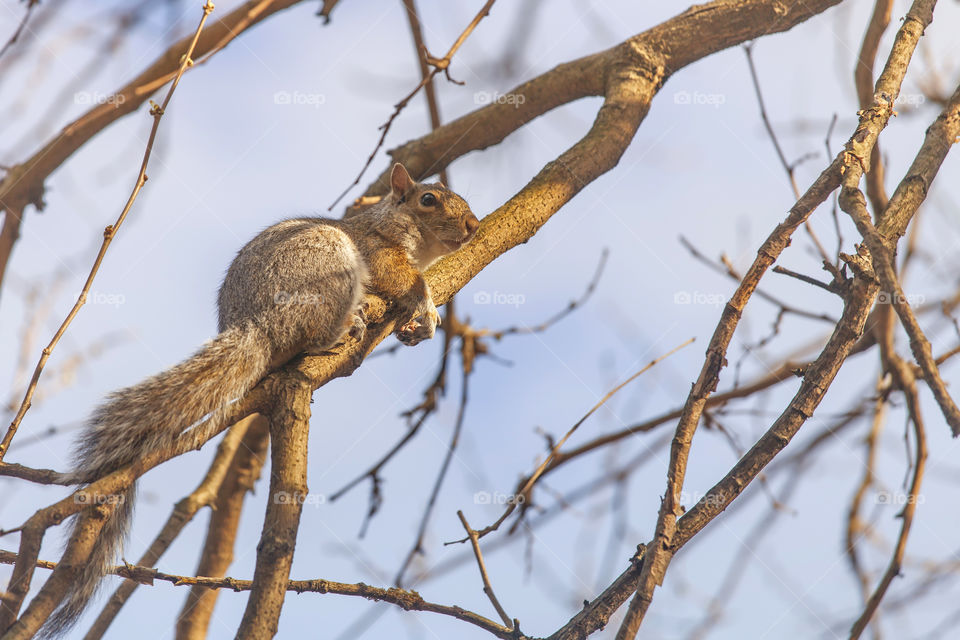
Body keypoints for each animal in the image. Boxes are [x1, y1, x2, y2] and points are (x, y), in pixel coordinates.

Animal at [44, 164, 480, 636]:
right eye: (428, 200)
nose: (474, 227)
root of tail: (258, 327)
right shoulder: (377, 247)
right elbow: (401, 278)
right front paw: (427, 306)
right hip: (324, 262)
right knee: (316, 328)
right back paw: (345, 327)